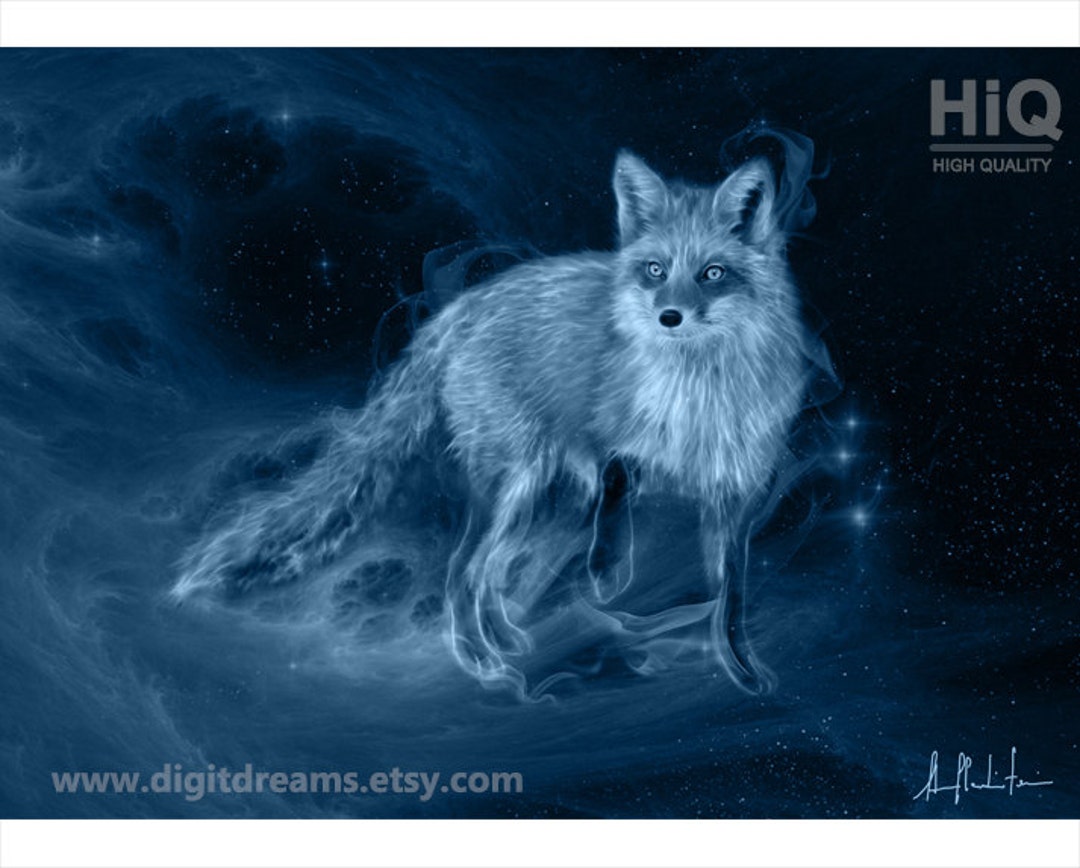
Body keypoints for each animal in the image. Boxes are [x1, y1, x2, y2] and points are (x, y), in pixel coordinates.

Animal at [175, 150, 810, 694]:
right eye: (655, 270)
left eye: (713, 273)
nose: (669, 317)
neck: (696, 392)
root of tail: (469, 303)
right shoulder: (604, 439)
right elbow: (616, 482)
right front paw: (606, 570)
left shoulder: (738, 492)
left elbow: (731, 600)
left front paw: (742, 669)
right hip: (515, 483)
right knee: (463, 572)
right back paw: (480, 661)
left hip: (532, 497)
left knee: (488, 574)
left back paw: (503, 640)